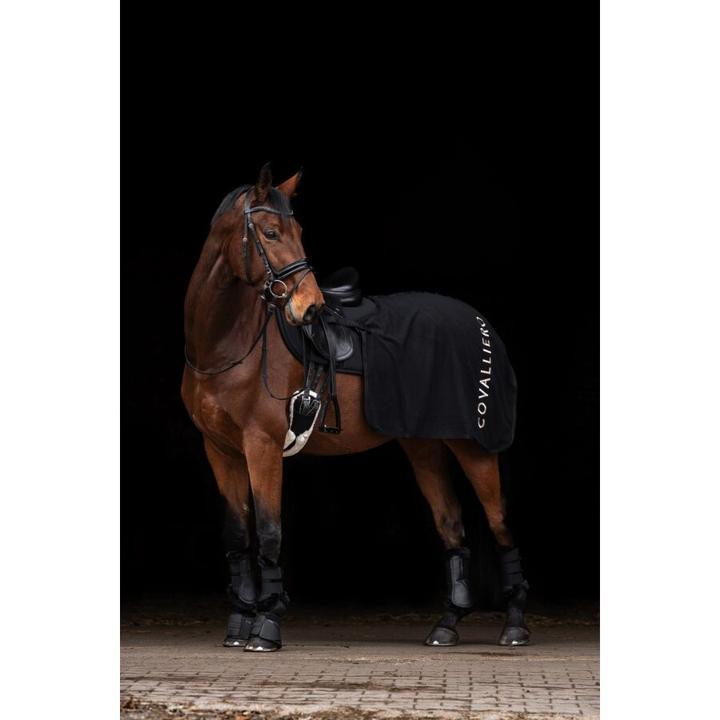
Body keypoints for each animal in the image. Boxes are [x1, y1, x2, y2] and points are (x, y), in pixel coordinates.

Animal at [181, 163, 530, 652]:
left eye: (299, 232)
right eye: (270, 232)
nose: (310, 308)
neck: (227, 344)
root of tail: (480, 325)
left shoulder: (261, 446)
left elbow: (269, 533)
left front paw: (267, 625)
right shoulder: (221, 450)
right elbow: (237, 535)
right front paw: (238, 624)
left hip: (474, 448)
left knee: (500, 527)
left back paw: (514, 625)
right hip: (424, 449)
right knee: (452, 526)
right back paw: (446, 625)